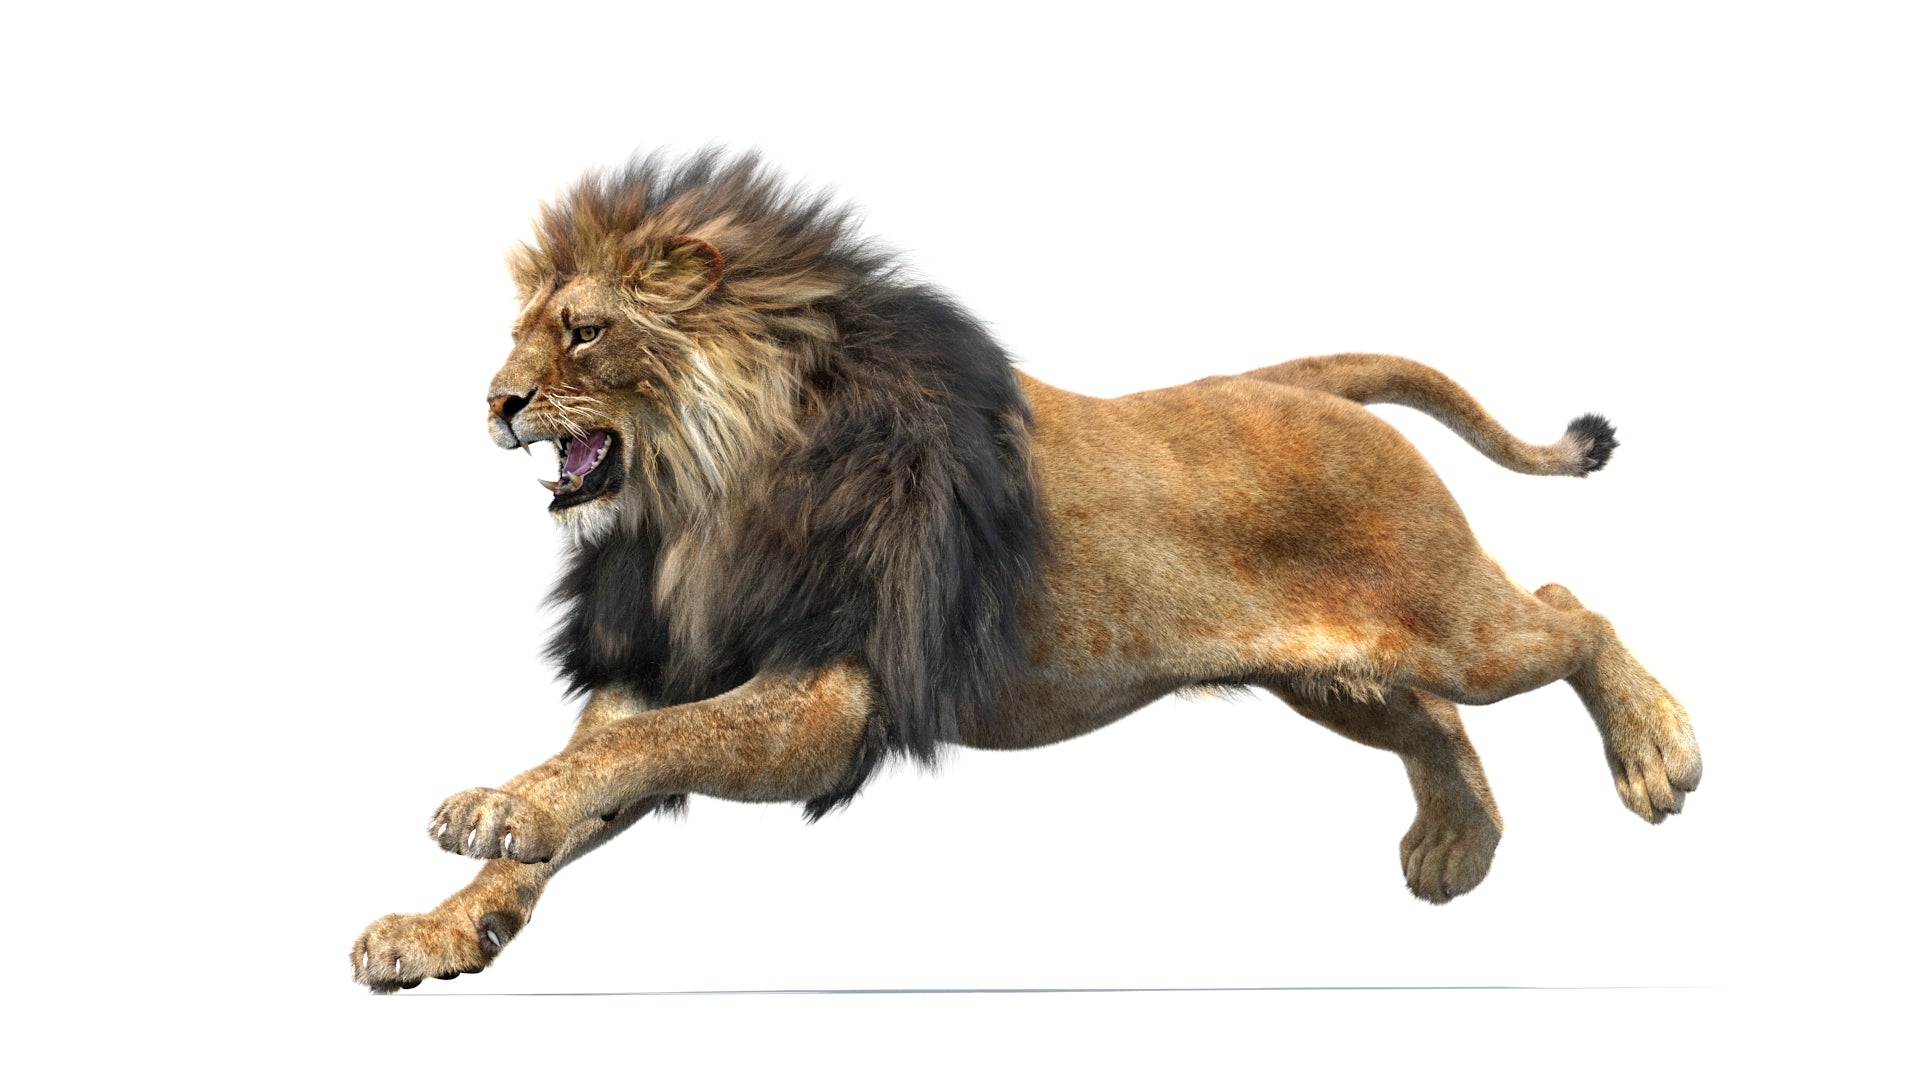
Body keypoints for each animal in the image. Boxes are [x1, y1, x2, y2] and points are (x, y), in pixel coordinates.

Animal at [351, 151, 1701, 992]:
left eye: (581, 331)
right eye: (520, 333)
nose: (495, 403)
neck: (700, 497)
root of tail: (1292, 382)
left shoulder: (835, 692)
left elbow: (636, 750)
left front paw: (494, 808)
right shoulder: (668, 665)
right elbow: (595, 768)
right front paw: (445, 922)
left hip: (1448, 624)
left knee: (1571, 613)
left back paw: (1657, 753)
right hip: (1333, 676)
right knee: (1436, 723)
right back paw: (1456, 847)